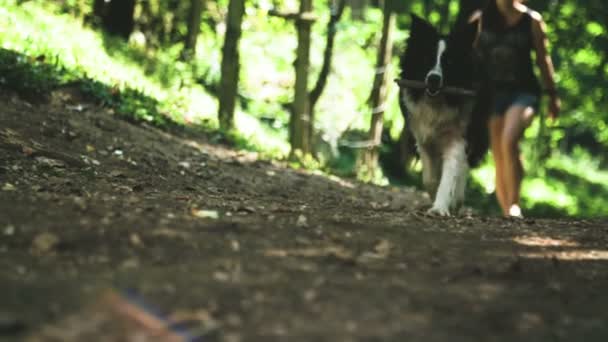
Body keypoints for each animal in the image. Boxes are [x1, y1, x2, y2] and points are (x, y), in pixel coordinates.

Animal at [396, 15, 492, 216]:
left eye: (450, 63)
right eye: (426, 58)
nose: (433, 78)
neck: (438, 102)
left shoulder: (458, 139)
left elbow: (450, 174)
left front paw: (440, 207)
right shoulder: (423, 139)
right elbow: (430, 178)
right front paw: (435, 199)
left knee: (464, 167)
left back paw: (456, 201)